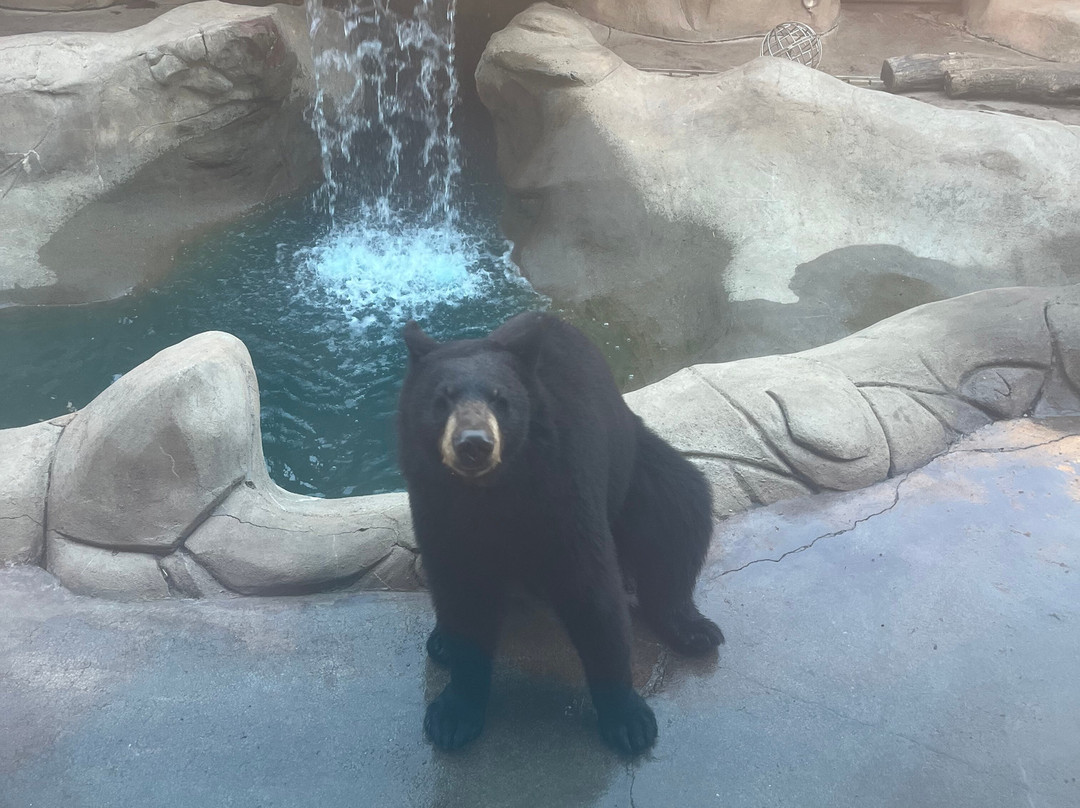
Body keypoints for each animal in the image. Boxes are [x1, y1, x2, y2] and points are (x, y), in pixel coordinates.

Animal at [397, 311, 723, 755]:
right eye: (442, 398)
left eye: (500, 399)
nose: (474, 444)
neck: (492, 492)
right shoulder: (436, 502)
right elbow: (459, 590)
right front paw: (453, 714)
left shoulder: (562, 484)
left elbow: (590, 587)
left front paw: (628, 720)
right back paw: (441, 642)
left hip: (636, 466)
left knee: (677, 513)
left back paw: (693, 628)